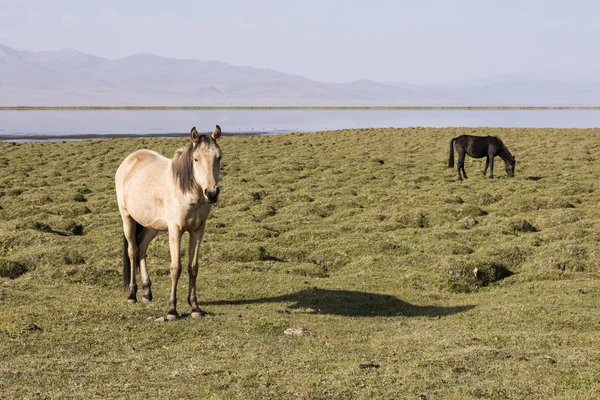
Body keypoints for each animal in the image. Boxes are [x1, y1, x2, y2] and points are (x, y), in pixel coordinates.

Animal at [115, 126, 223, 320]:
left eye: (219, 156)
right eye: (196, 159)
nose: (211, 193)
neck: (188, 193)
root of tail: (129, 160)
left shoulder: (198, 230)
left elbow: (193, 267)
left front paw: (195, 307)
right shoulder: (175, 230)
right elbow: (176, 268)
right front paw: (172, 310)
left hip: (152, 225)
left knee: (142, 247)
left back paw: (146, 292)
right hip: (127, 218)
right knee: (132, 251)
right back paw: (132, 294)